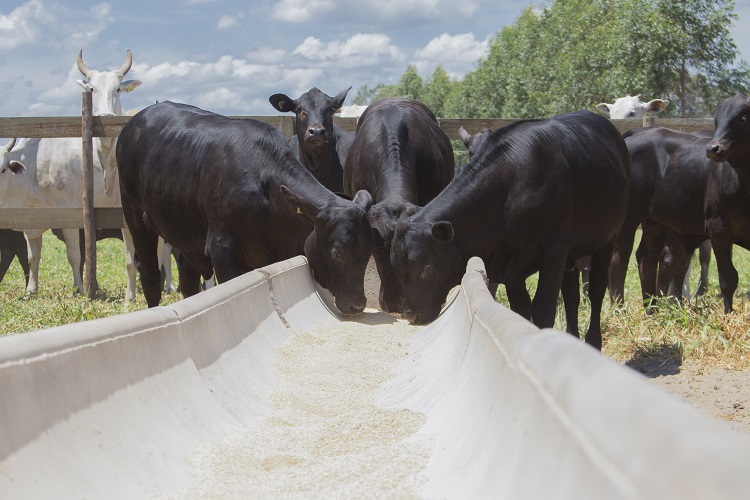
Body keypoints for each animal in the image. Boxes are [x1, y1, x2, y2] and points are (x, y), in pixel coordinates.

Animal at [117, 100, 376, 312]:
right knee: (150, 275)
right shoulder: (221, 248)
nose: (357, 305)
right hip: (135, 218)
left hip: (186, 236)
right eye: (337, 252)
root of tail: (135, 121)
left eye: (368, 253)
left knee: (188, 280)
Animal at [390, 111, 632, 350]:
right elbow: (521, 308)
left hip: (607, 239)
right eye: (397, 267)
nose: (411, 315)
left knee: (597, 290)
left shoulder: (555, 247)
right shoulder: (511, 264)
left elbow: (543, 307)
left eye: (426, 269)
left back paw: (593, 342)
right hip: (570, 256)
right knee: (572, 295)